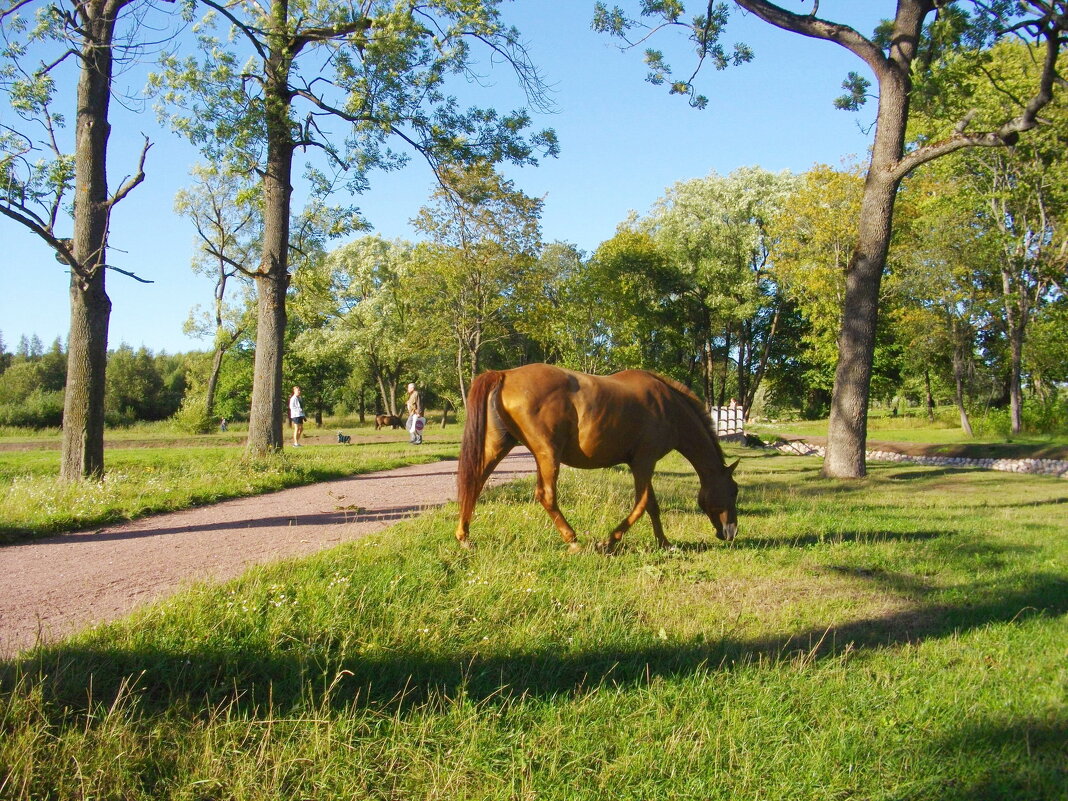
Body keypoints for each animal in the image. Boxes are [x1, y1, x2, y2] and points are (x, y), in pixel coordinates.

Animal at [454, 363, 739, 551]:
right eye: (734, 491)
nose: (731, 531)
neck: (668, 408)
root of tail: (505, 374)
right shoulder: (644, 462)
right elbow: (643, 504)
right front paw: (610, 540)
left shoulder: (641, 464)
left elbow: (652, 505)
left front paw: (665, 543)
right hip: (547, 454)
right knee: (546, 495)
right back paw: (573, 541)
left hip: (499, 446)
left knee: (475, 483)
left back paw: (464, 537)